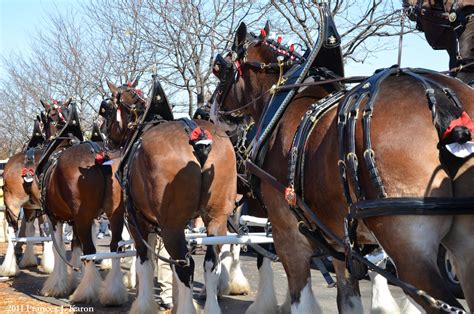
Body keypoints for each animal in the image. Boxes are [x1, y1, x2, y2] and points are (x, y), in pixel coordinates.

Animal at [38, 101, 128, 306]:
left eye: (44, 119)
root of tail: (100, 156)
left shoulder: (55, 218)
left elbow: (59, 248)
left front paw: (57, 285)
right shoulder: (75, 221)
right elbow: (75, 247)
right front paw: (73, 280)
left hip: (84, 217)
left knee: (91, 250)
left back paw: (84, 293)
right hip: (115, 215)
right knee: (115, 247)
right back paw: (113, 293)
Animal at [104, 79, 236, 312]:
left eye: (110, 109)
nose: (105, 137)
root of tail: (199, 138)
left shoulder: (138, 221)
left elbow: (144, 262)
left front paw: (144, 305)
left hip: (172, 226)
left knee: (186, 266)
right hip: (216, 220)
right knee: (211, 264)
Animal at [212, 20, 474, 312]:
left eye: (219, 69)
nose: (208, 110)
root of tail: (439, 96)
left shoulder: (288, 236)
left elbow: (301, 300)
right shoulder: (338, 243)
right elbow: (348, 300)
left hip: (408, 248)